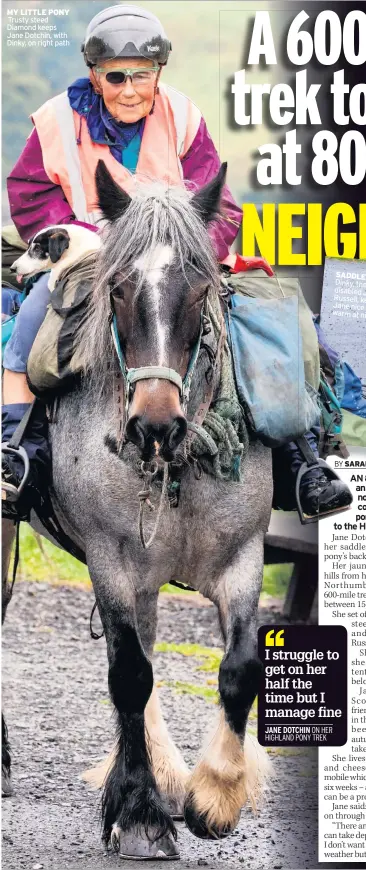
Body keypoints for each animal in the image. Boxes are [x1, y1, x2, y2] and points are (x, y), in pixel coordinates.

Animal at [2, 162, 274, 860]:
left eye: (200, 290)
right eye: (119, 291)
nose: (154, 425)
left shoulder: (242, 557)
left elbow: (238, 670)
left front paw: (214, 797)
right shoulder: (112, 561)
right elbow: (130, 676)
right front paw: (141, 816)